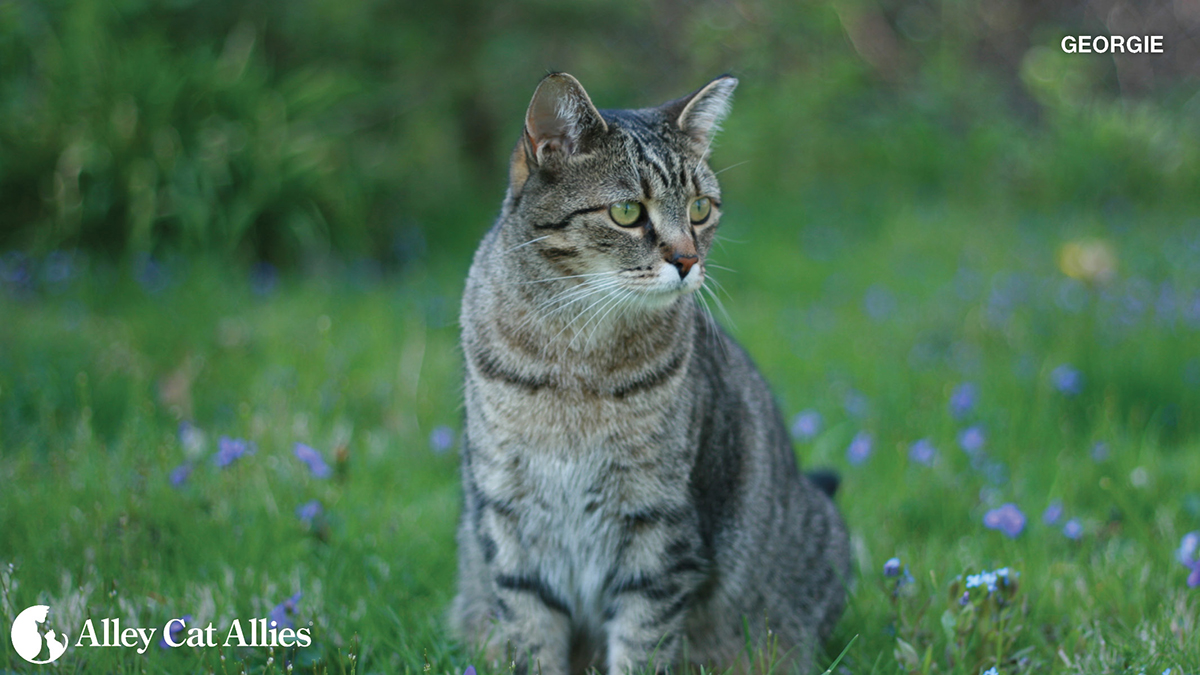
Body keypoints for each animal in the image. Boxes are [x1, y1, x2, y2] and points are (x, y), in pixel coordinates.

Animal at [451, 73, 854, 672]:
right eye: (626, 212)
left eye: (700, 208)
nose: (687, 260)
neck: (576, 359)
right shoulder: (509, 526)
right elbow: (531, 638)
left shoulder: (661, 536)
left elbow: (641, 644)